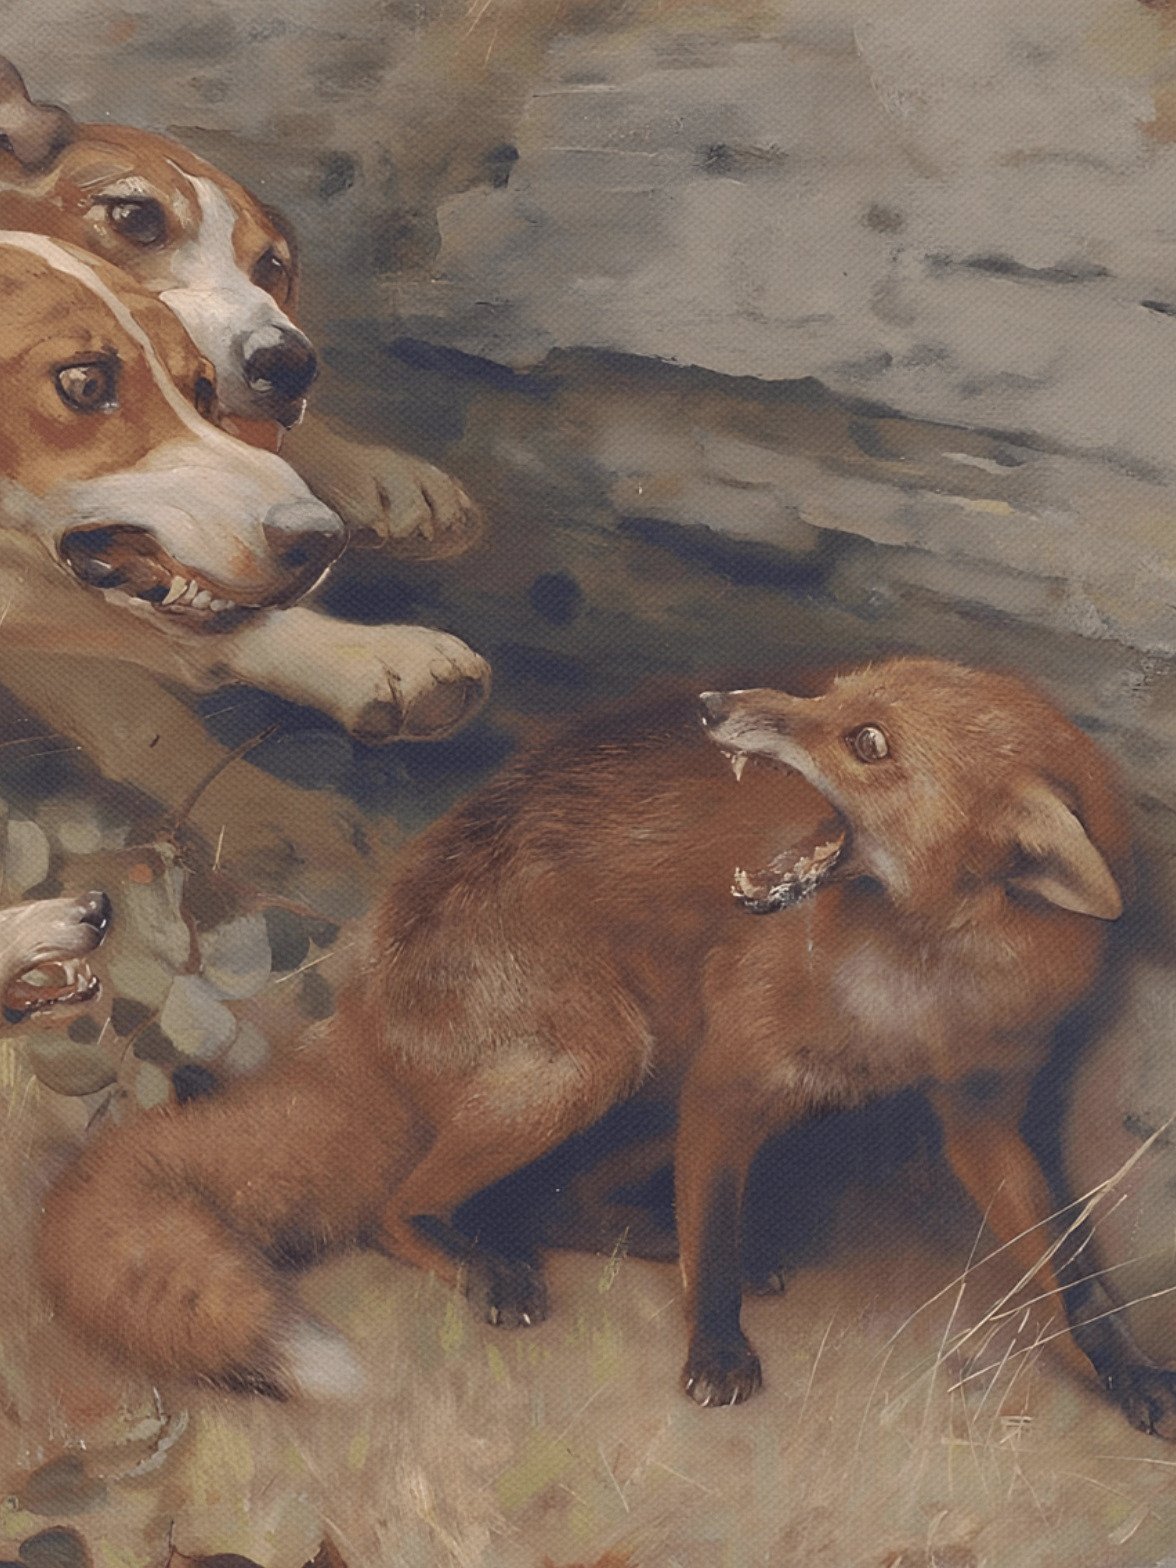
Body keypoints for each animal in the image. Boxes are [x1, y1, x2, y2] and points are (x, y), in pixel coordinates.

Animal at [38, 657, 1144, 1417]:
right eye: (833, 697)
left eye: (866, 740)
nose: (713, 704)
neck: (919, 990)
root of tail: (361, 1006)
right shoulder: (732, 1075)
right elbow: (714, 1237)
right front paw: (715, 1351)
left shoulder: (983, 1110)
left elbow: (1060, 1265)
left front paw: (1121, 1370)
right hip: (594, 1061)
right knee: (396, 1211)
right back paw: (483, 1263)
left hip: (646, 1076)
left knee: (559, 1200)